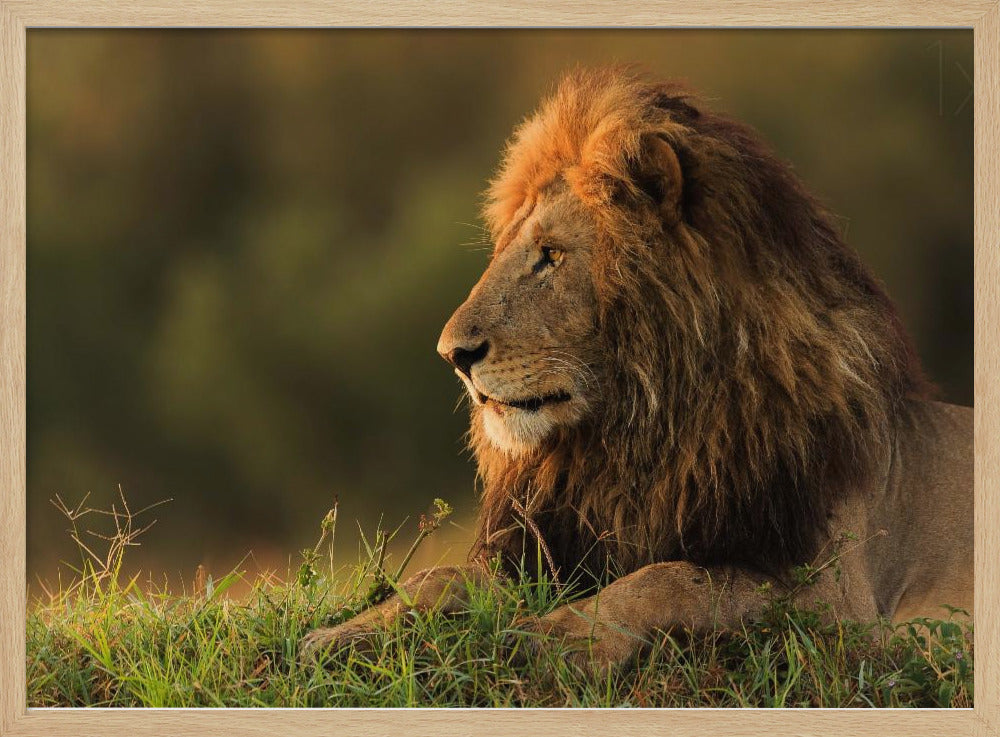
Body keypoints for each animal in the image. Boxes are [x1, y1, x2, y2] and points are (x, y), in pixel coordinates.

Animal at [301, 67, 973, 671]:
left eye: (551, 255)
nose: (452, 355)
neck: (638, 436)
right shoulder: (557, 548)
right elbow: (438, 578)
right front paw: (339, 636)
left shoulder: (838, 601)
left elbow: (672, 578)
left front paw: (558, 638)